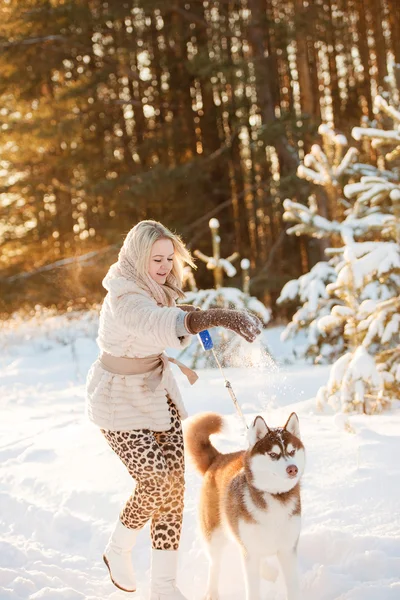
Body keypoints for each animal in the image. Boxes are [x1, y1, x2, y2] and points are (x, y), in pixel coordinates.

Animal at [186, 412, 304, 600]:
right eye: (273, 454)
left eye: (292, 451)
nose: (292, 469)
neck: (274, 497)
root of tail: (219, 458)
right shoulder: (250, 552)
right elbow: (253, 588)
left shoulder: (288, 549)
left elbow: (292, 585)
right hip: (214, 533)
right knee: (215, 563)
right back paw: (212, 592)